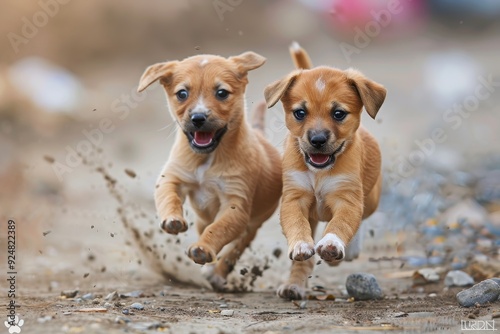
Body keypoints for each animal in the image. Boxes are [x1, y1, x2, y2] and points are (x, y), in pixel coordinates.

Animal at [139, 51, 284, 290]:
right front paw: (172, 220)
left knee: (235, 248)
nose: (198, 118)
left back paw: (217, 273)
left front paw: (203, 250)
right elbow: (169, 198)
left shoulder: (236, 205)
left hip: (253, 223)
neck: (207, 159)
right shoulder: (172, 178)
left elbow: (218, 229)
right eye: (182, 93)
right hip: (203, 217)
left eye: (221, 93)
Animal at [266, 43, 386, 302]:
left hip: (371, 198)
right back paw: (294, 285)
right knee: (303, 262)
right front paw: (301, 245)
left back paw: (350, 250)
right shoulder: (294, 198)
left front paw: (332, 244)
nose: (318, 140)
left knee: (362, 216)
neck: (319, 172)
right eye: (300, 113)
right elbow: (296, 225)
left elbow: (341, 223)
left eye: (338, 113)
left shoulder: (348, 198)